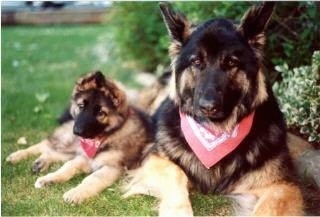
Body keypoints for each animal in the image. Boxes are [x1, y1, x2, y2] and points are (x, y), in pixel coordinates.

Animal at [6, 71, 152, 203]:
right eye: (81, 106)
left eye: (101, 112)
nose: (77, 131)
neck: (107, 136)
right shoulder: (85, 156)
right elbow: (68, 167)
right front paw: (50, 178)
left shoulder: (112, 167)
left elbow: (92, 178)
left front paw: (76, 193)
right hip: (71, 142)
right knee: (47, 144)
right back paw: (17, 156)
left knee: (52, 152)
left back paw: (40, 162)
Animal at [124, 2, 304, 216]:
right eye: (196, 62)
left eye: (232, 62)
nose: (208, 106)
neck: (215, 132)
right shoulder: (154, 157)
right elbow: (176, 172)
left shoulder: (284, 185)